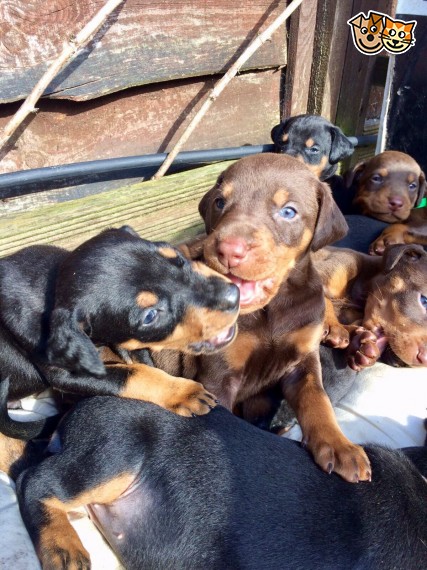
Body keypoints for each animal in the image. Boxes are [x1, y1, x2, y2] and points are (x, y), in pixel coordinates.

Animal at [0, 226, 240, 439]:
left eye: (178, 258)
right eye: (150, 316)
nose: (234, 295)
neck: (53, 288)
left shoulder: (129, 341)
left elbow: (144, 364)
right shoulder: (66, 374)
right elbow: (135, 375)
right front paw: (184, 393)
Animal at [178, 153, 372, 483]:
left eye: (288, 211)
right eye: (220, 202)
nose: (229, 250)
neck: (272, 308)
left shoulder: (303, 362)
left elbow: (317, 400)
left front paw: (339, 446)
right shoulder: (219, 377)